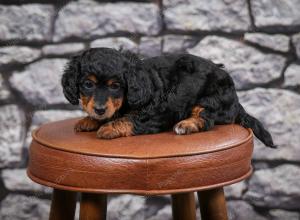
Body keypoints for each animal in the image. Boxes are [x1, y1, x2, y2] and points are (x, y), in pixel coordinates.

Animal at [62, 48, 276, 148]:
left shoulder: (155, 113)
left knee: (206, 119)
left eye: (115, 86)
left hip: (210, 99)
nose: (99, 109)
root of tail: (236, 101)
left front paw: (108, 127)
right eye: (88, 84)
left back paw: (186, 125)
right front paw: (90, 120)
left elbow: (130, 119)